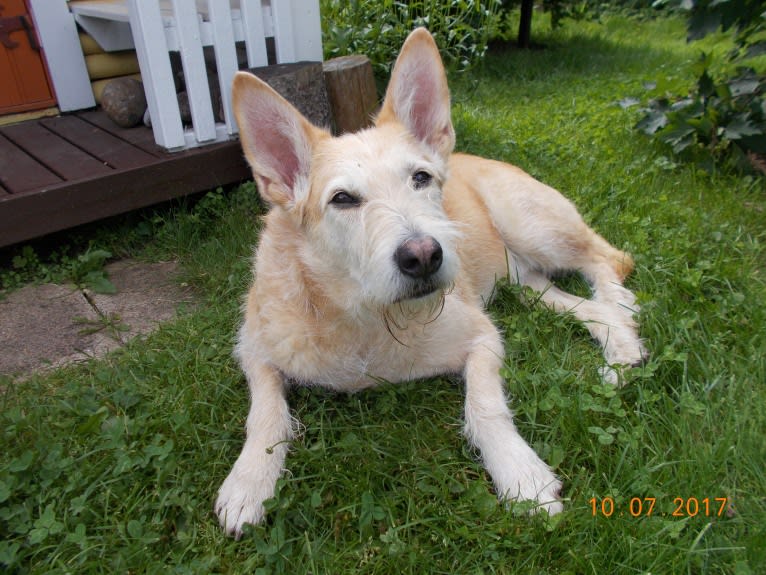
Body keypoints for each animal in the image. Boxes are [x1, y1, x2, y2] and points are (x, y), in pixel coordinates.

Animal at [214, 28, 648, 540]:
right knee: (586, 306)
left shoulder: (482, 336)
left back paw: (620, 303)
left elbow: (485, 407)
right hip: (526, 282)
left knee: (607, 259)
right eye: (342, 199)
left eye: (420, 178)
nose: (423, 256)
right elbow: (265, 414)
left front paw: (520, 472)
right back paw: (621, 348)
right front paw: (248, 481)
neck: (365, 320)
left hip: (535, 228)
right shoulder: (254, 347)